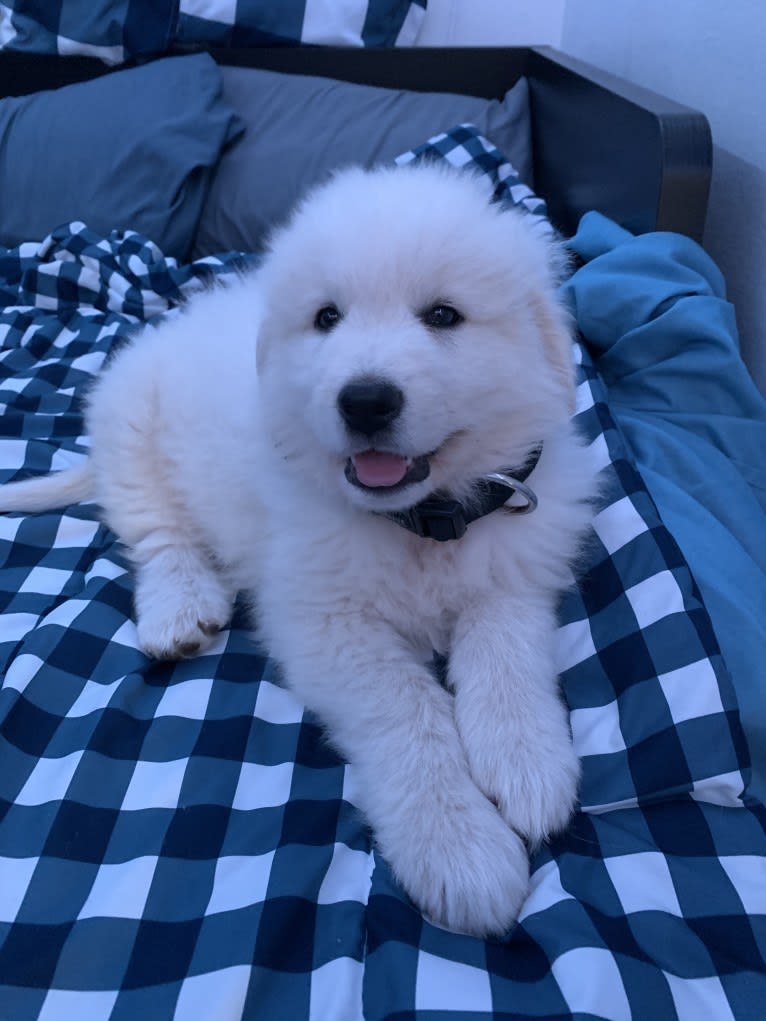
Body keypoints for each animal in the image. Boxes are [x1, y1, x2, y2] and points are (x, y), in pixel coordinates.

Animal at [0, 167, 600, 939]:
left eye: (443, 316)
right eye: (326, 318)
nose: (365, 400)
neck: (420, 520)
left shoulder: (515, 559)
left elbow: (507, 649)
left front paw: (528, 764)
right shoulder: (321, 621)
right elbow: (406, 708)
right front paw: (461, 848)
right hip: (133, 423)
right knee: (158, 531)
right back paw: (179, 607)